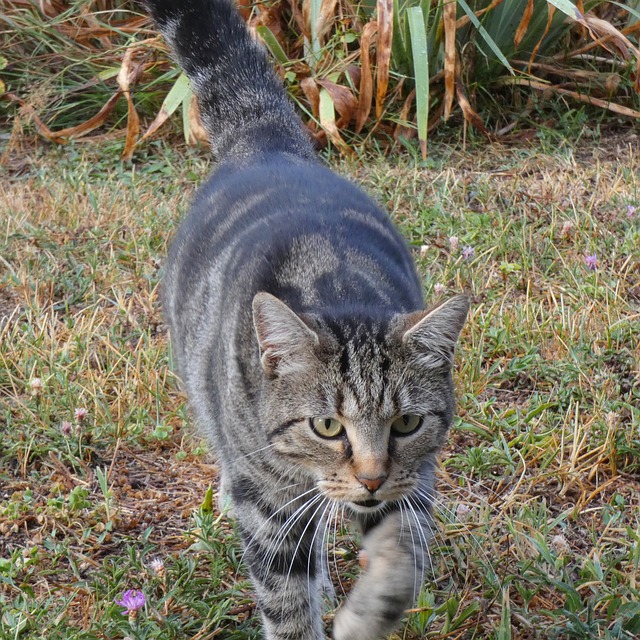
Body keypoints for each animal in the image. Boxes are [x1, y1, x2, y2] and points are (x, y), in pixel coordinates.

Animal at [142, 2, 468, 636]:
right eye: (326, 427)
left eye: (406, 424)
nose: (370, 478)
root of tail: (268, 144)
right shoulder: (269, 506)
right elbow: (287, 600)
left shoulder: (411, 483)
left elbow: (402, 562)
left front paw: (364, 615)